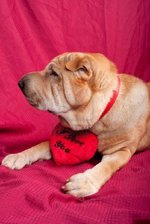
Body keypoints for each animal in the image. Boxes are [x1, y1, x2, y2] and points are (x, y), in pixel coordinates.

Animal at [1, 53, 150, 197]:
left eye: (54, 74)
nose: (20, 83)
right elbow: (40, 145)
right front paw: (18, 156)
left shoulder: (121, 150)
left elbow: (106, 166)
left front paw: (84, 182)